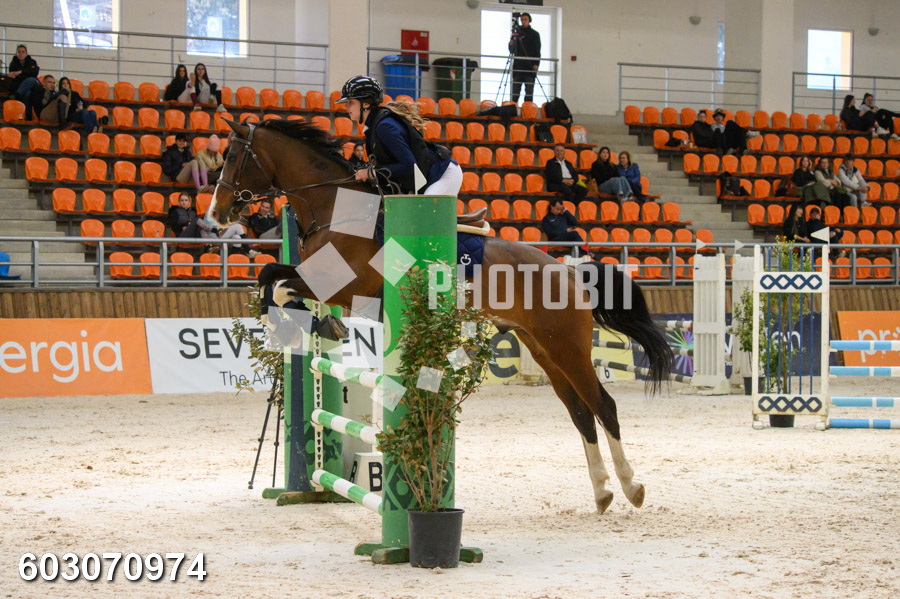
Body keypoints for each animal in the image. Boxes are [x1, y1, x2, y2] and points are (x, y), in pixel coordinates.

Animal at [211, 119, 674, 513]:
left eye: (232, 156)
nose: (216, 215)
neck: (336, 209)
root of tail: (572, 273)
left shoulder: (340, 285)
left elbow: (281, 286)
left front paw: (312, 323)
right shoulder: (316, 275)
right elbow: (271, 277)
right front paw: (301, 323)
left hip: (567, 346)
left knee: (602, 405)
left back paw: (631, 487)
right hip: (542, 347)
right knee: (579, 411)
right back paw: (602, 492)